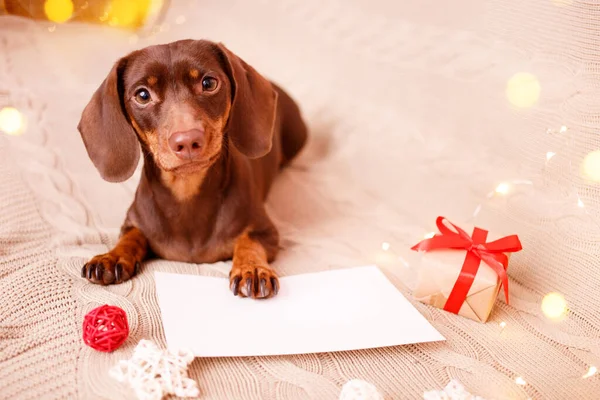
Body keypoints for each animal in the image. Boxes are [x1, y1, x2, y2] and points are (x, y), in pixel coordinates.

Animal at [77, 39, 308, 296]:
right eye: (143, 95)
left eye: (208, 83)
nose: (187, 140)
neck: (186, 193)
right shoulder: (131, 223)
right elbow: (131, 237)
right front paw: (112, 256)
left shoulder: (265, 232)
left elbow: (249, 242)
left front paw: (252, 268)